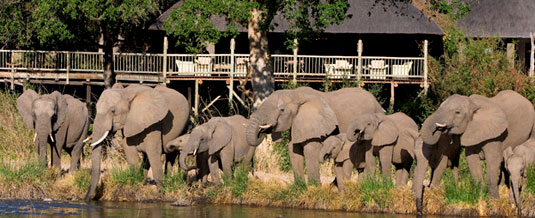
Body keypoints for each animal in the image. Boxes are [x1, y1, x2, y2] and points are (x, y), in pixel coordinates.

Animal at [245, 87, 384, 184]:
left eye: (282, 110)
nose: (256, 177)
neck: (296, 94)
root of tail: (378, 105)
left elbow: (310, 150)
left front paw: (314, 187)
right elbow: (293, 150)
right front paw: (299, 187)